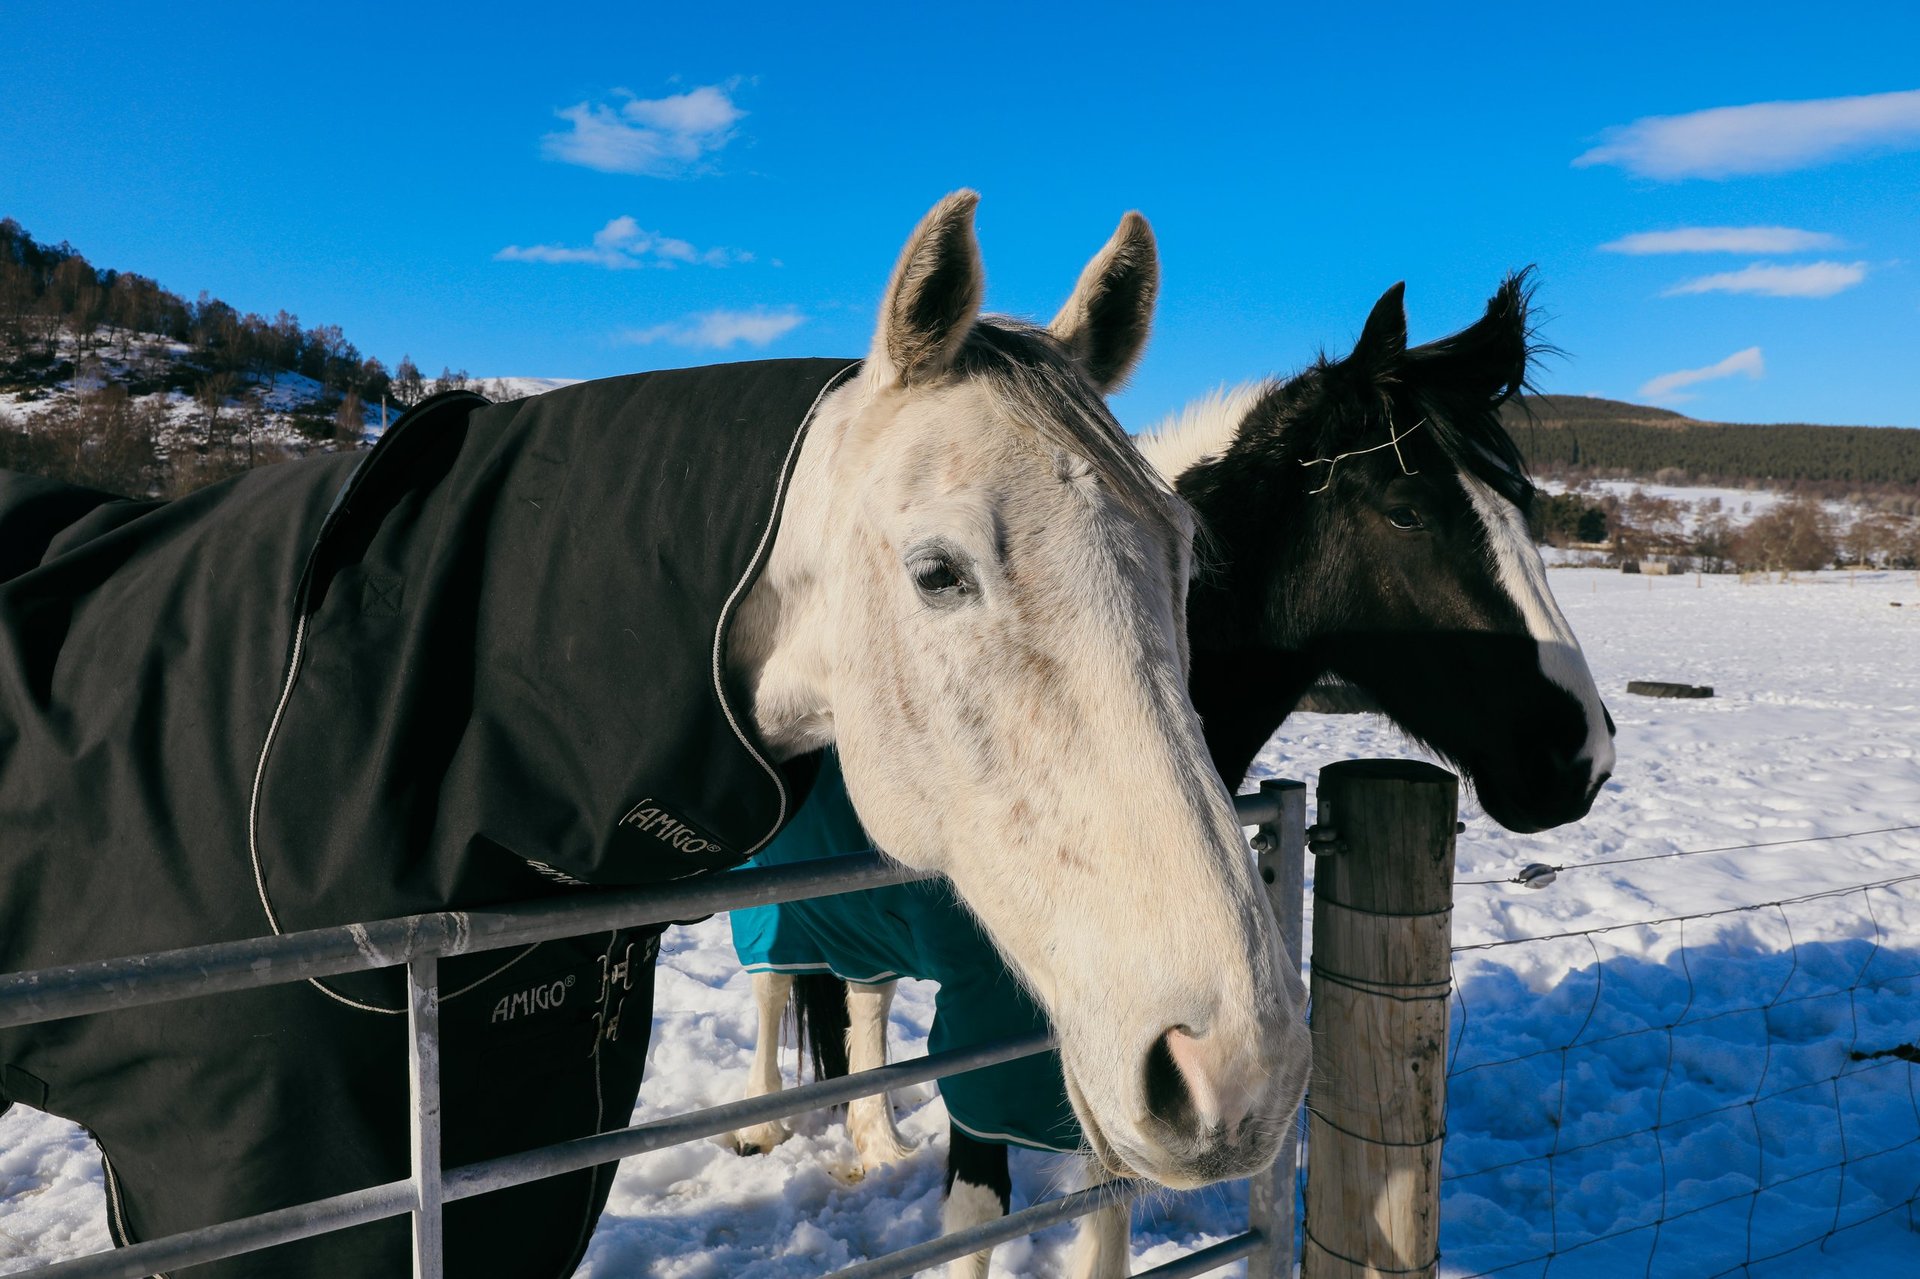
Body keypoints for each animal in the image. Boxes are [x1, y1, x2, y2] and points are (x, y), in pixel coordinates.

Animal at [727, 270, 1616, 1277]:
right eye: (1404, 509)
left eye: (1525, 502)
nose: (1584, 755)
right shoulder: (1003, 1035)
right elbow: (977, 1214)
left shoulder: (1120, 1058)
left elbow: (1109, 1200)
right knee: (772, 984)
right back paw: (762, 1123)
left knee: (865, 999)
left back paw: (878, 1136)